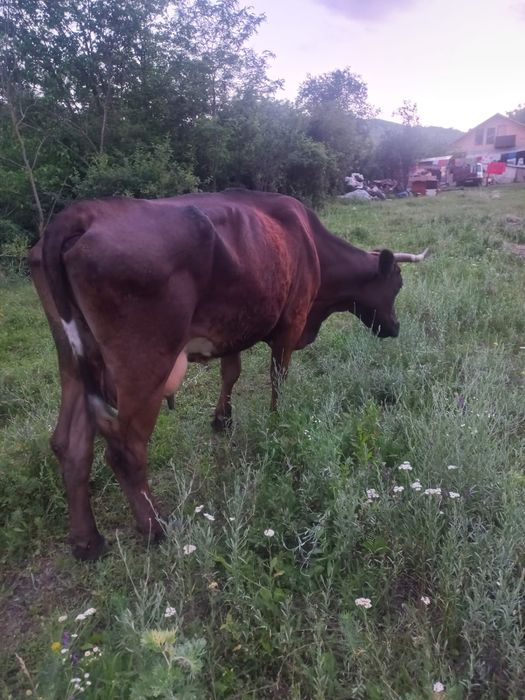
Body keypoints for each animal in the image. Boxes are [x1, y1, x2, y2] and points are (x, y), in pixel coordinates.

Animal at [30, 189, 428, 560]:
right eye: (397, 284)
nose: (395, 328)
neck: (311, 246)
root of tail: (84, 212)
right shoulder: (291, 323)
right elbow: (277, 379)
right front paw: (277, 421)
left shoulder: (233, 326)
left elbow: (231, 372)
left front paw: (222, 419)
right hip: (144, 364)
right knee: (124, 449)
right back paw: (155, 527)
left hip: (75, 359)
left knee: (70, 443)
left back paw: (87, 541)